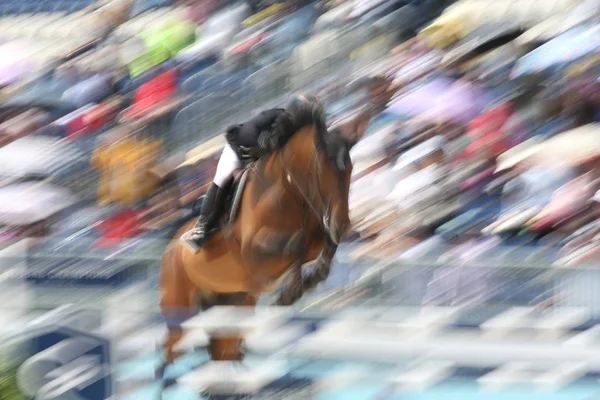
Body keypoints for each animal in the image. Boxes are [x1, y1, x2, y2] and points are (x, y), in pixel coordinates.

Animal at [158, 97, 376, 382]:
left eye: (350, 169)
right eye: (322, 170)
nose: (343, 225)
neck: (288, 188)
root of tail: (168, 249)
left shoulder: (317, 236)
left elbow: (321, 246)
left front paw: (308, 281)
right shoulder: (255, 254)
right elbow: (296, 242)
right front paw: (291, 292)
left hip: (233, 301)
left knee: (225, 348)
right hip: (180, 307)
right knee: (170, 347)